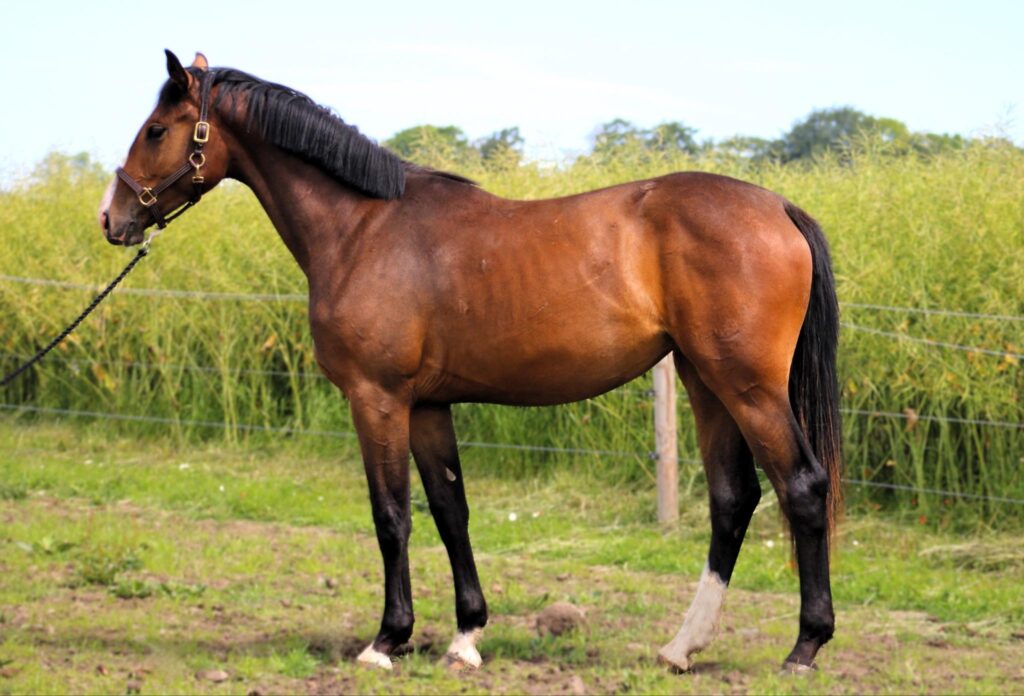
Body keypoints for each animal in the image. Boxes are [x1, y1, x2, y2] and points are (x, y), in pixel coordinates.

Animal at [99, 50, 843, 675]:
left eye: (158, 130)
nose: (113, 218)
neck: (363, 229)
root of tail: (778, 206)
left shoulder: (377, 399)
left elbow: (391, 515)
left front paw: (386, 640)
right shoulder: (429, 405)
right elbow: (449, 509)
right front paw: (465, 636)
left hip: (747, 386)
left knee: (802, 486)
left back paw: (805, 647)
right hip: (704, 381)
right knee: (732, 499)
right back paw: (681, 648)